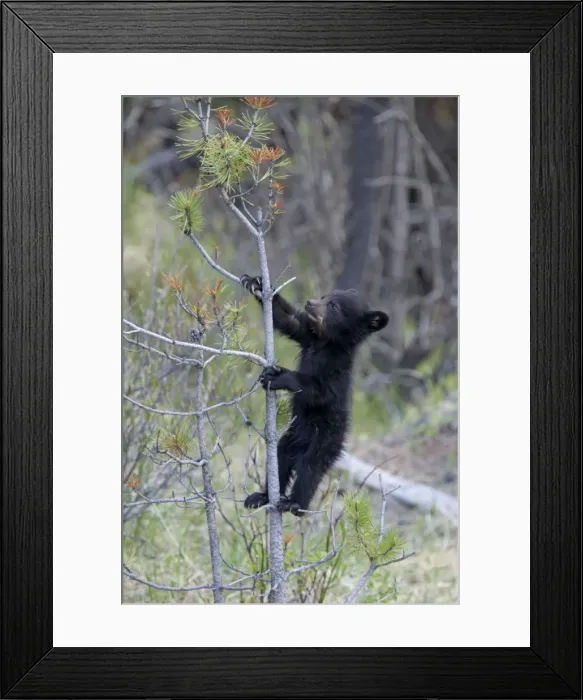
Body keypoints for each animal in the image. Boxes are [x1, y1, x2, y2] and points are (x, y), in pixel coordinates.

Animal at [240, 274, 389, 516]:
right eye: (324, 296)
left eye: (334, 306)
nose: (310, 302)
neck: (326, 343)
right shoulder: (307, 336)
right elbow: (288, 319)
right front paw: (256, 283)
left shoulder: (337, 372)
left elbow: (319, 391)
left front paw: (281, 376)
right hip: (290, 438)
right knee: (281, 459)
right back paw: (262, 496)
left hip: (326, 441)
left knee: (310, 469)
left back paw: (295, 504)